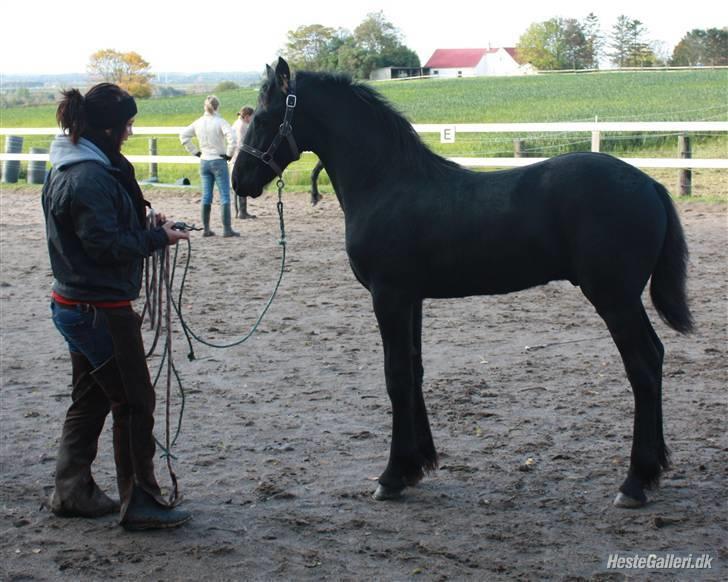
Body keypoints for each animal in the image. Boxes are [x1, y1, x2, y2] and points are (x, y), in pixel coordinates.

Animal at [233, 57, 692, 508]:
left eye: (265, 117)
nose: (240, 179)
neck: (386, 183)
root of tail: (650, 183)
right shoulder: (411, 299)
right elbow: (414, 370)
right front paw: (418, 464)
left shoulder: (389, 297)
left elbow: (395, 376)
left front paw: (392, 475)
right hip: (622, 299)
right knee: (655, 358)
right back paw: (654, 470)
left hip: (614, 298)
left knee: (643, 365)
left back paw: (634, 482)